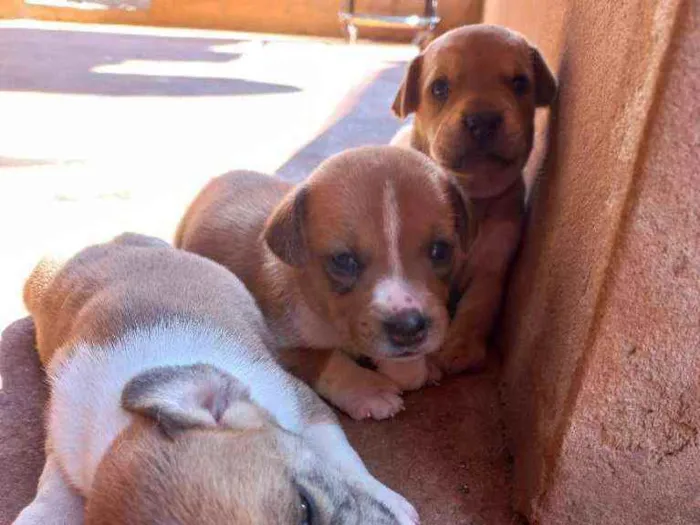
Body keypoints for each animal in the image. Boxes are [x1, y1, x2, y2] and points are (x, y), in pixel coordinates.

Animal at [12, 233, 416, 524]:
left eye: (305, 508)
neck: (126, 425)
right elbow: (54, 488)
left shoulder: (300, 403)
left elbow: (343, 458)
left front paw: (387, 498)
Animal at [174, 145, 474, 420]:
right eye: (343, 260)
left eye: (440, 250)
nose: (409, 328)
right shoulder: (279, 346)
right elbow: (327, 359)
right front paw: (368, 389)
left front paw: (412, 367)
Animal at [392, 21, 556, 372]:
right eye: (439, 88)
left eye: (520, 83)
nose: (483, 120)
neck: (471, 196)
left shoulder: (491, 267)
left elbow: (477, 306)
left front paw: (460, 347)